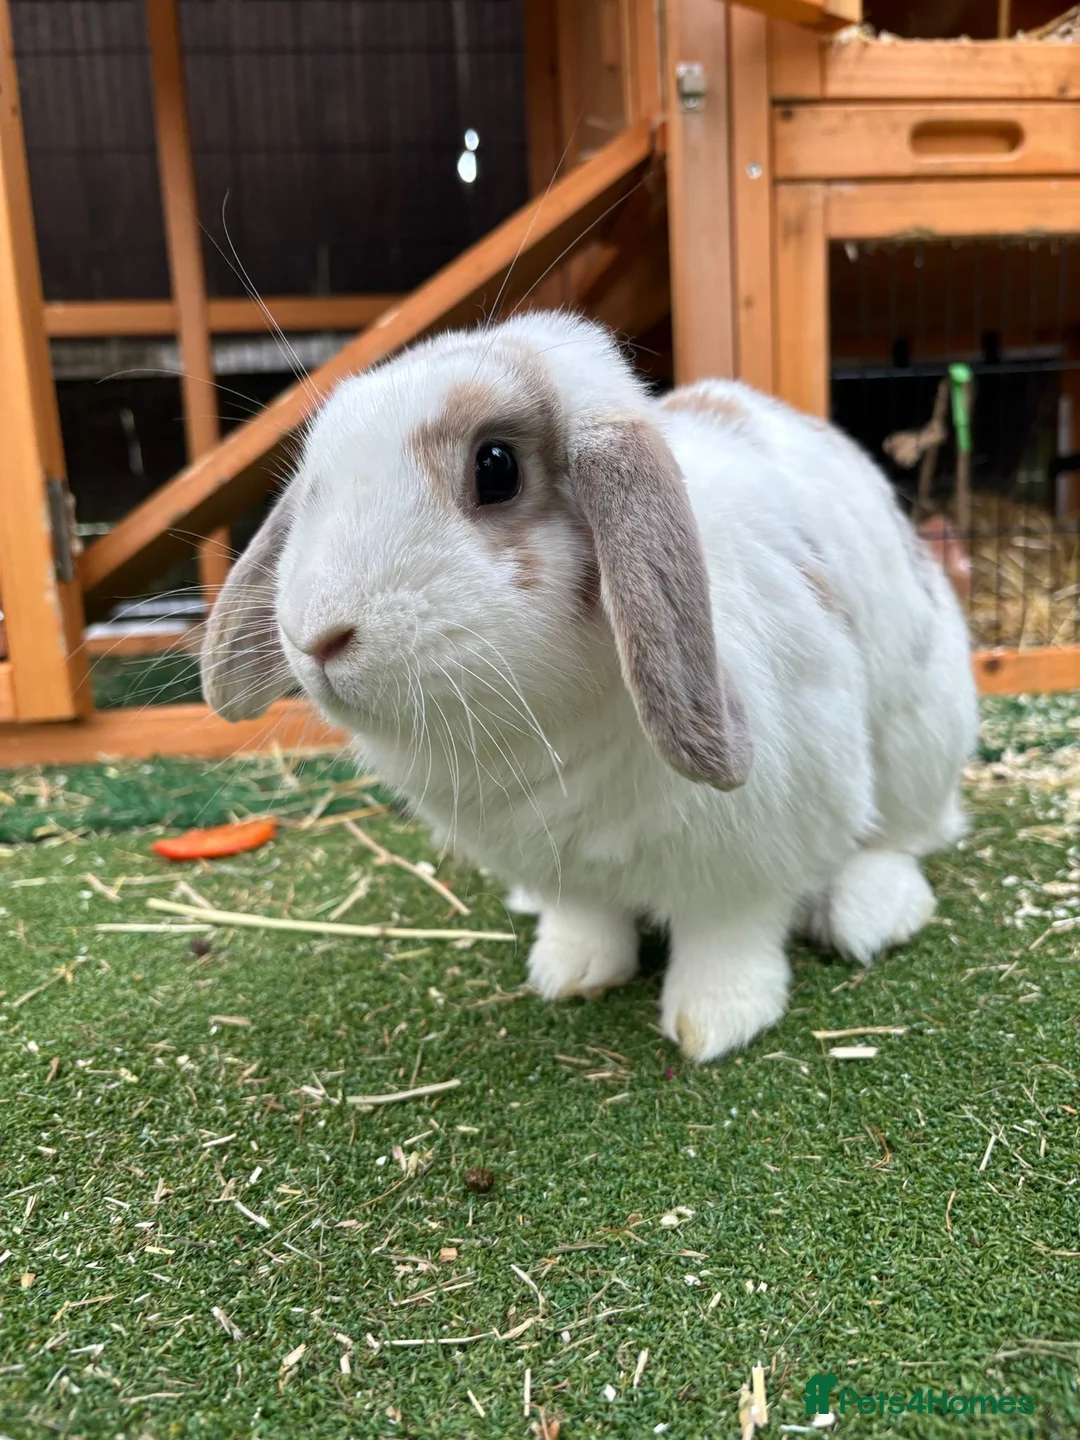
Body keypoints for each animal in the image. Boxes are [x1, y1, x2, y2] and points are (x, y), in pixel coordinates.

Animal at [202, 311, 977, 1062]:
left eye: (495, 468)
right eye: (315, 481)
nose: (316, 635)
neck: (543, 724)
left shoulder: (759, 846)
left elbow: (729, 932)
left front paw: (717, 1019)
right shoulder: (562, 863)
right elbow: (586, 915)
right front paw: (570, 972)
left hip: (920, 735)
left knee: (907, 836)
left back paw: (870, 913)